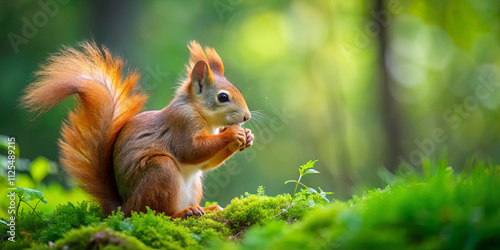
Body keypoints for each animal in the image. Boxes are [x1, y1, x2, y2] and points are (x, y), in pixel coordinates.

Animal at [22, 40, 254, 218]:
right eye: (222, 97)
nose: (247, 117)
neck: (202, 116)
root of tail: (123, 208)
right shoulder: (182, 122)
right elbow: (191, 150)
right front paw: (233, 133)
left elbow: (204, 163)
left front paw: (247, 137)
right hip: (159, 171)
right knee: (157, 214)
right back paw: (183, 213)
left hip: (192, 184)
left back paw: (207, 208)